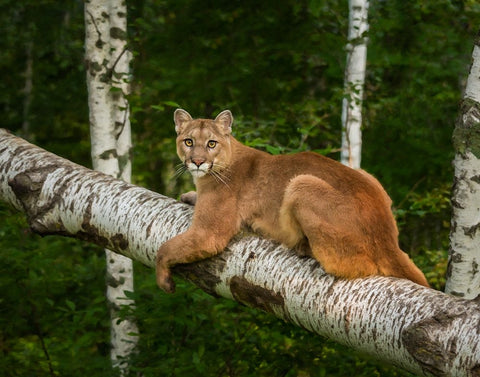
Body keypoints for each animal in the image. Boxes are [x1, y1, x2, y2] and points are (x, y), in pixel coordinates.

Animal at [156, 108, 430, 290]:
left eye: (211, 143)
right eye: (188, 141)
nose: (197, 161)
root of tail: (388, 238)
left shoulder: (208, 233)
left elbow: (165, 249)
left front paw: (163, 280)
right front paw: (189, 195)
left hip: (301, 183)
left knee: (357, 266)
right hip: (366, 175)